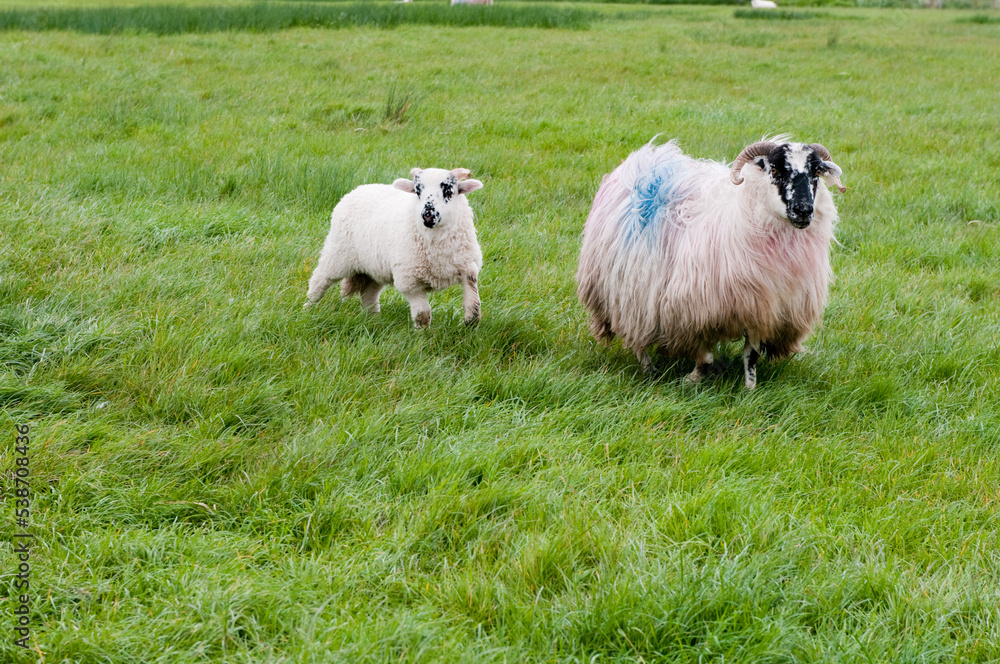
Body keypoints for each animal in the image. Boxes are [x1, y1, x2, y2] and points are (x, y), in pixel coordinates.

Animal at [305, 167, 484, 329]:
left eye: (449, 191)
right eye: (417, 191)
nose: (427, 215)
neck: (436, 240)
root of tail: (360, 188)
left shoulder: (468, 267)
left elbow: (474, 305)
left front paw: (469, 326)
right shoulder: (410, 281)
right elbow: (423, 315)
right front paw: (423, 337)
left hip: (374, 268)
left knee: (369, 294)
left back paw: (373, 319)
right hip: (338, 254)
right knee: (320, 279)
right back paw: (308, 308)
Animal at [576, 137, 846, 389]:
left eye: (816, 173)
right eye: (776, 171)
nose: (803, 210)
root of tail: (645, 158)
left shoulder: (761, 307)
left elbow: (751, 356)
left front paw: (750, 390)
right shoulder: (694, 309)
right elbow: (704, 356)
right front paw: (692, 379)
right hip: (626, 291)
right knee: (636, 332)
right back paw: (649, 370)